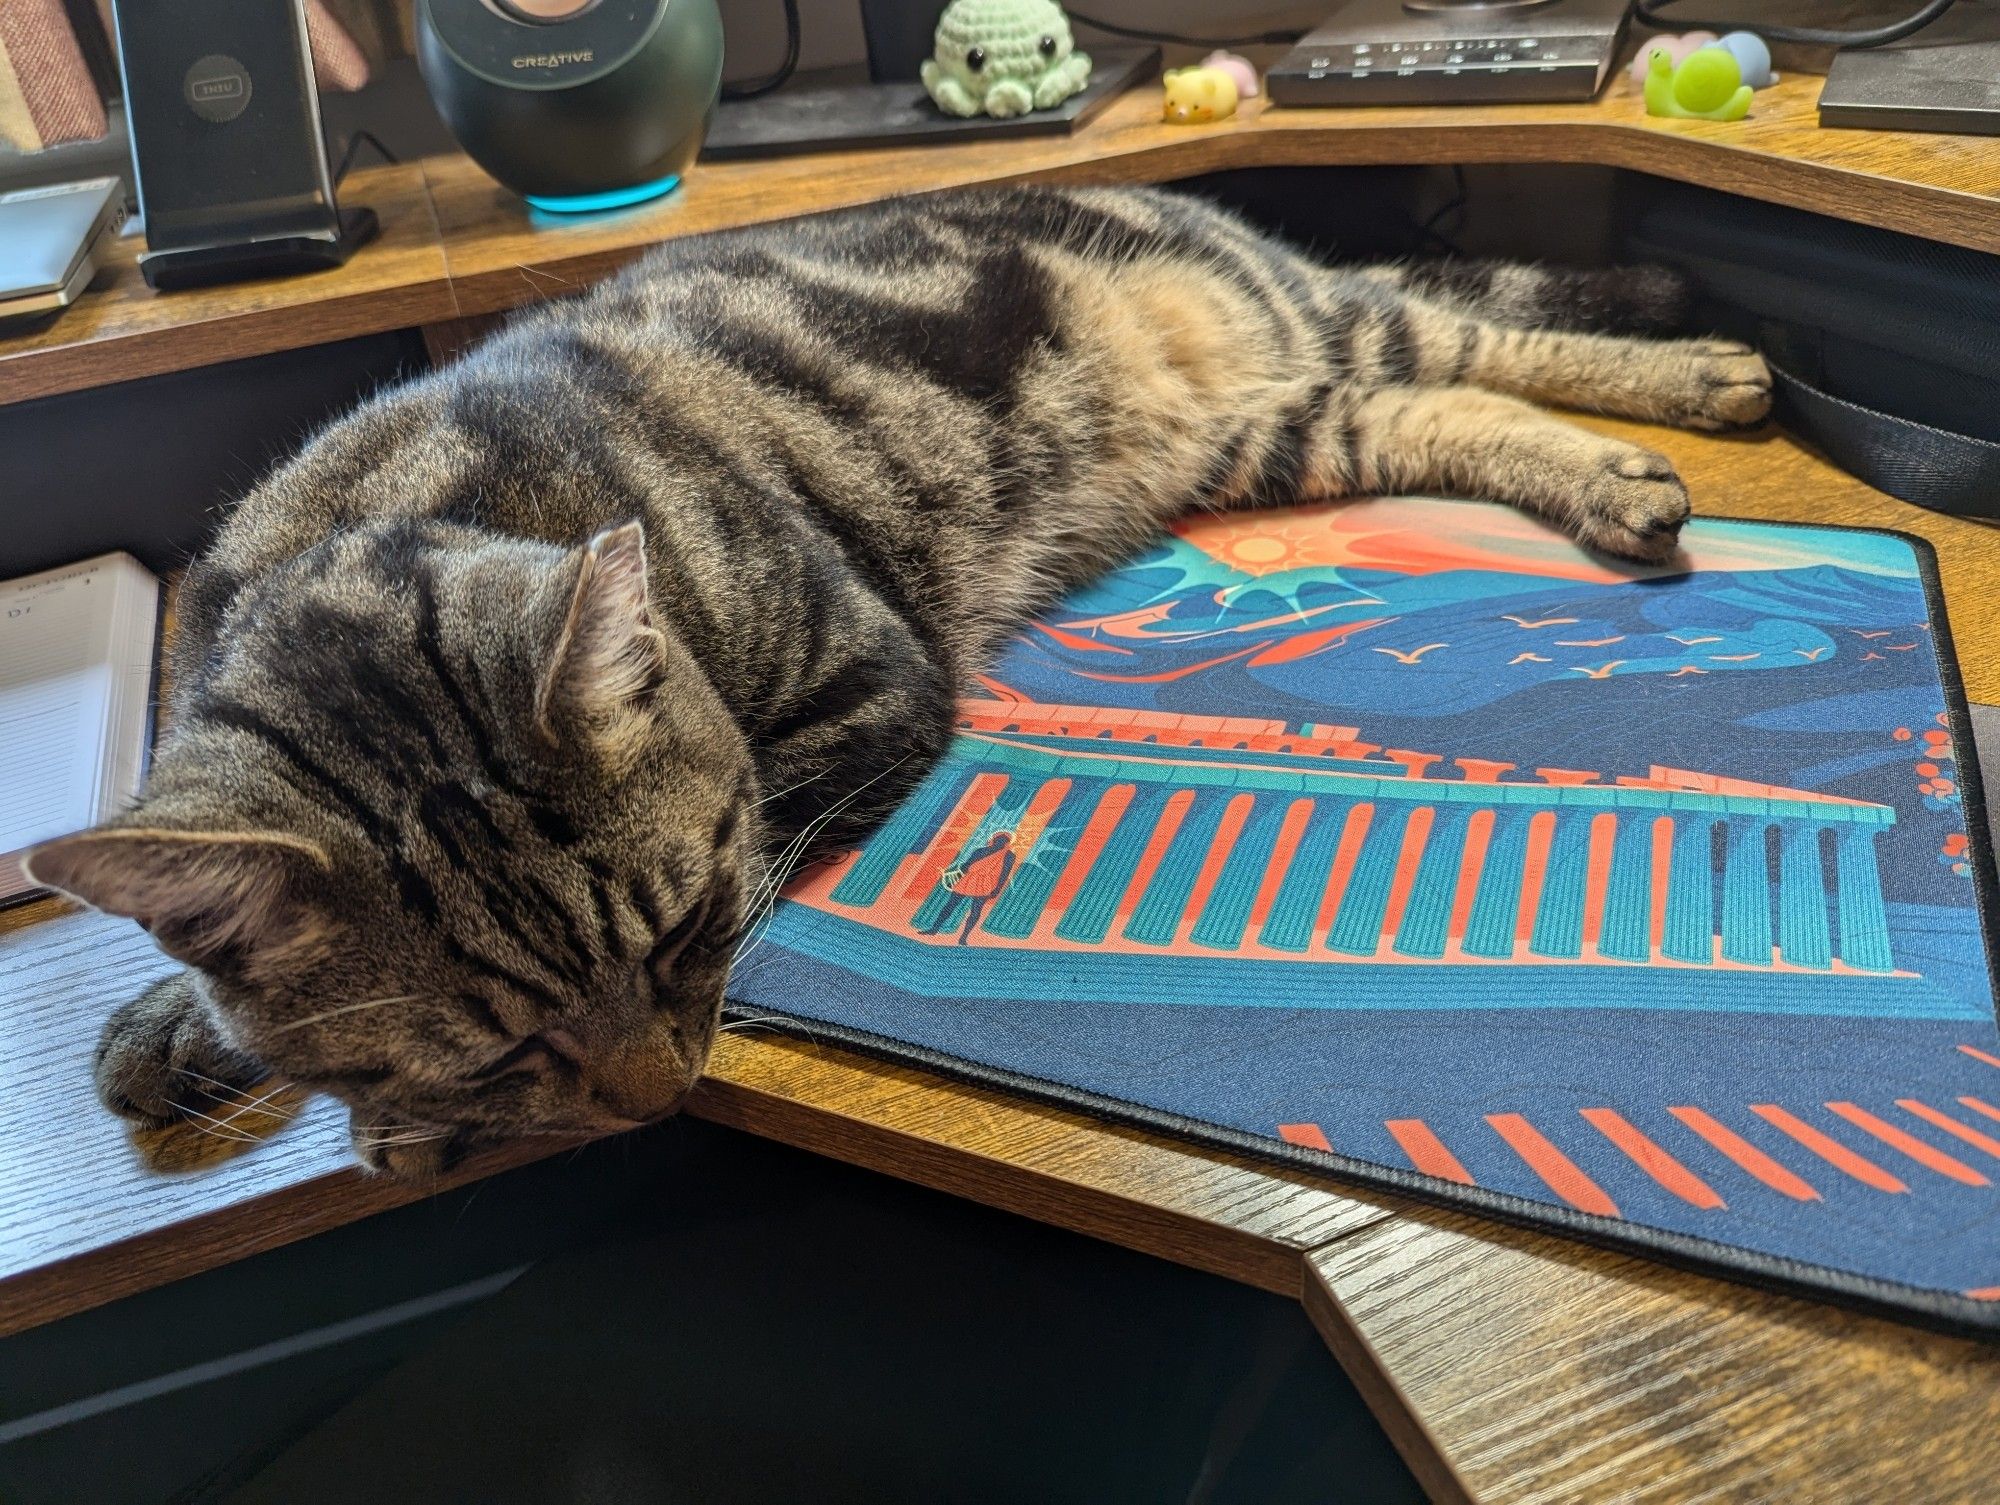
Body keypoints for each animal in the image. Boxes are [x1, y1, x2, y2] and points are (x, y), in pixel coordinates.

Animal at [27, 185, 1768, 1176]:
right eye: (498, 1038)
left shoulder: (874, 687)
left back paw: (1678, 403)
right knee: (1442, 397)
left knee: (1474, 332)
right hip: (1284, 424)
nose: (659, 1100)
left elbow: (770, 816)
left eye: (685, 932)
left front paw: (374, 1119)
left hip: (1305, 327)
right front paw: (176, 1020)